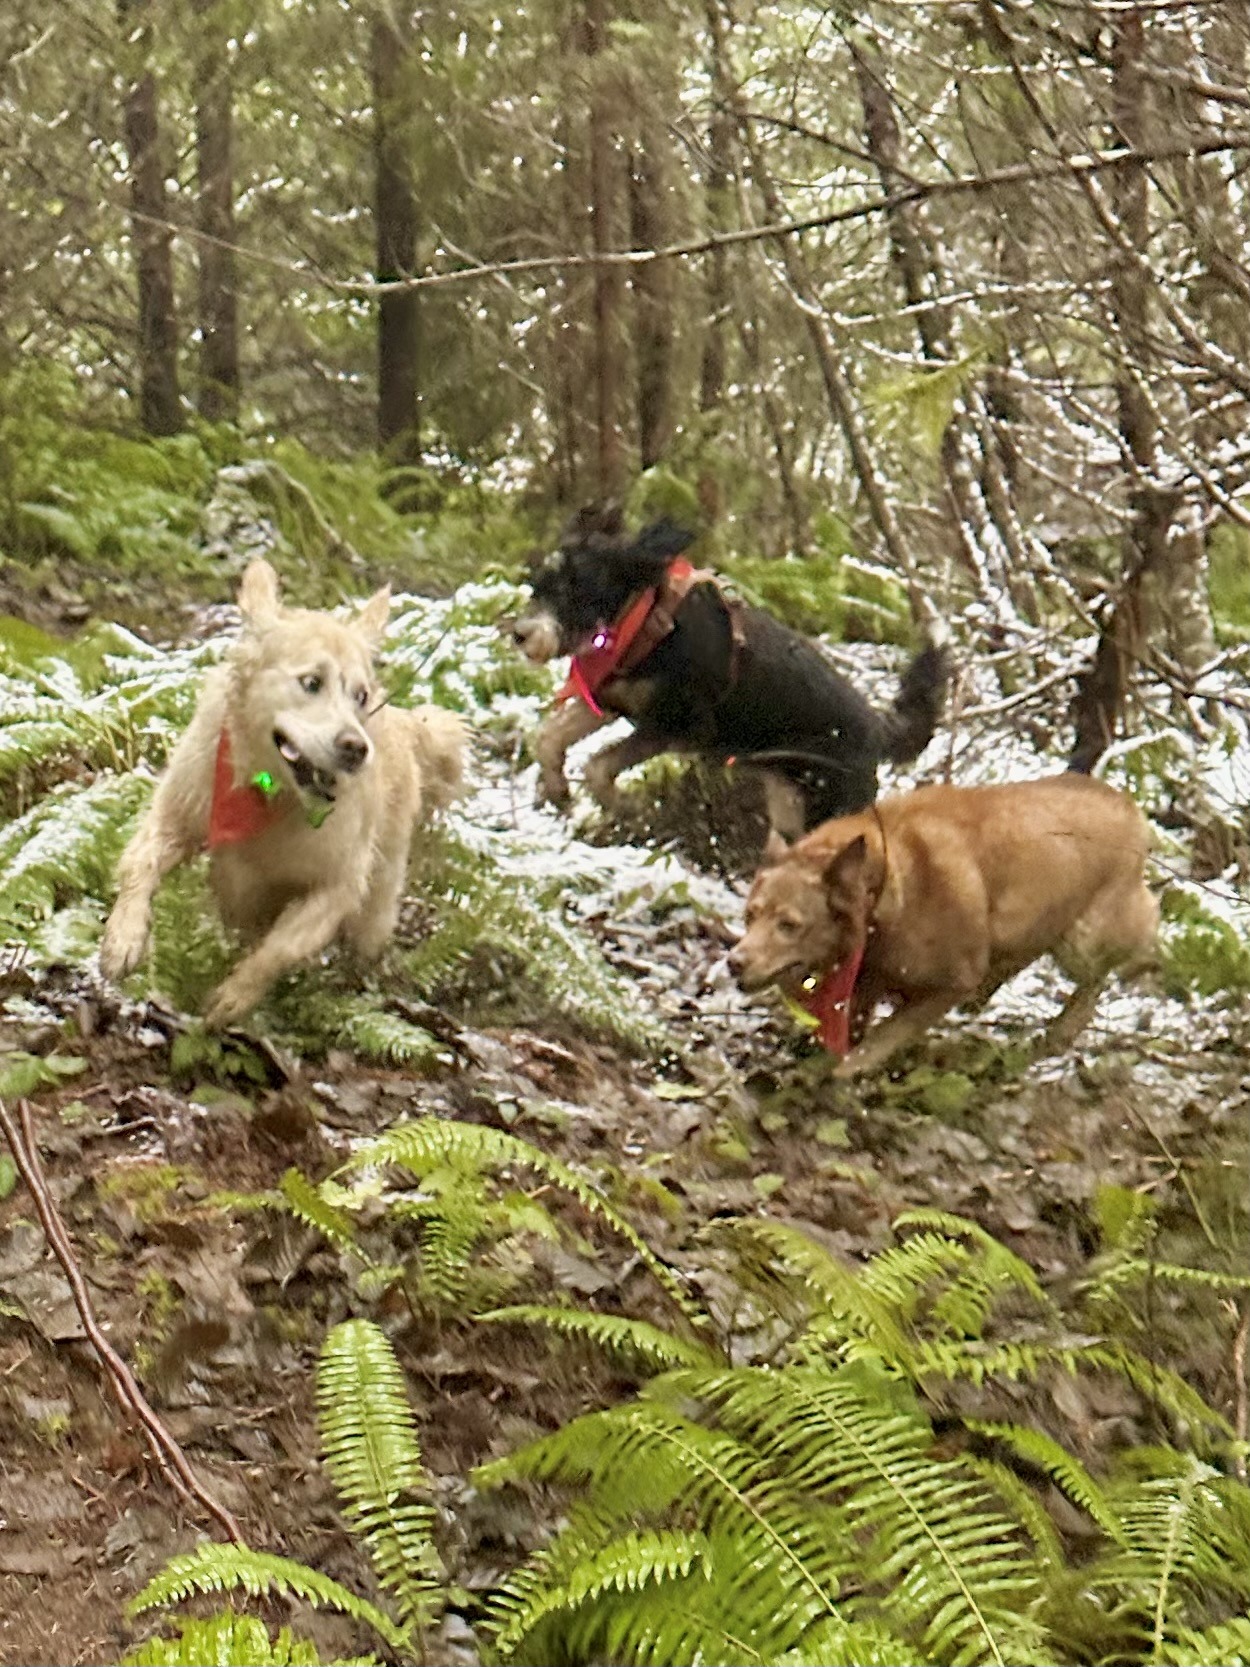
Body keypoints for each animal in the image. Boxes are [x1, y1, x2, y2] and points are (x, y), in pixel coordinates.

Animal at [101, 563, 466, 1026]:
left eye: (359, 695)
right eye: (311, 682)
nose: (356, 748)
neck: (270, 790)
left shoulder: (338, 884)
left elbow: (280, 948)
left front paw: (235, 996)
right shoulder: (179, 814)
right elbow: (139, 863)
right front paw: (123, 940)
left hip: (377, 906)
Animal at [510, 496, 946, 830]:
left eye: (576, 587)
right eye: (540, 582)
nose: (520, 634)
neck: (645, 620)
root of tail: (877, 727)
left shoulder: (677, 726)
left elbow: (598, 767)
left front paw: (628, 808)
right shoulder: (611, 700)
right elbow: (548, 738)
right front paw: (557, 790)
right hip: (789, 808)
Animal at [730, 770, 1160, 1073]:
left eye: (789, 925)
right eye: (750, 915)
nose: (734, 962)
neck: (883, 891)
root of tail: (1130, 806)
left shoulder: (951, 982)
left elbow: (885, 1036)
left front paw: (846, 1074)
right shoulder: (870, 974)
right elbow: (854, 1020)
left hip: (1083, 942)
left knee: (1101, 977)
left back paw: (1060, 1033)